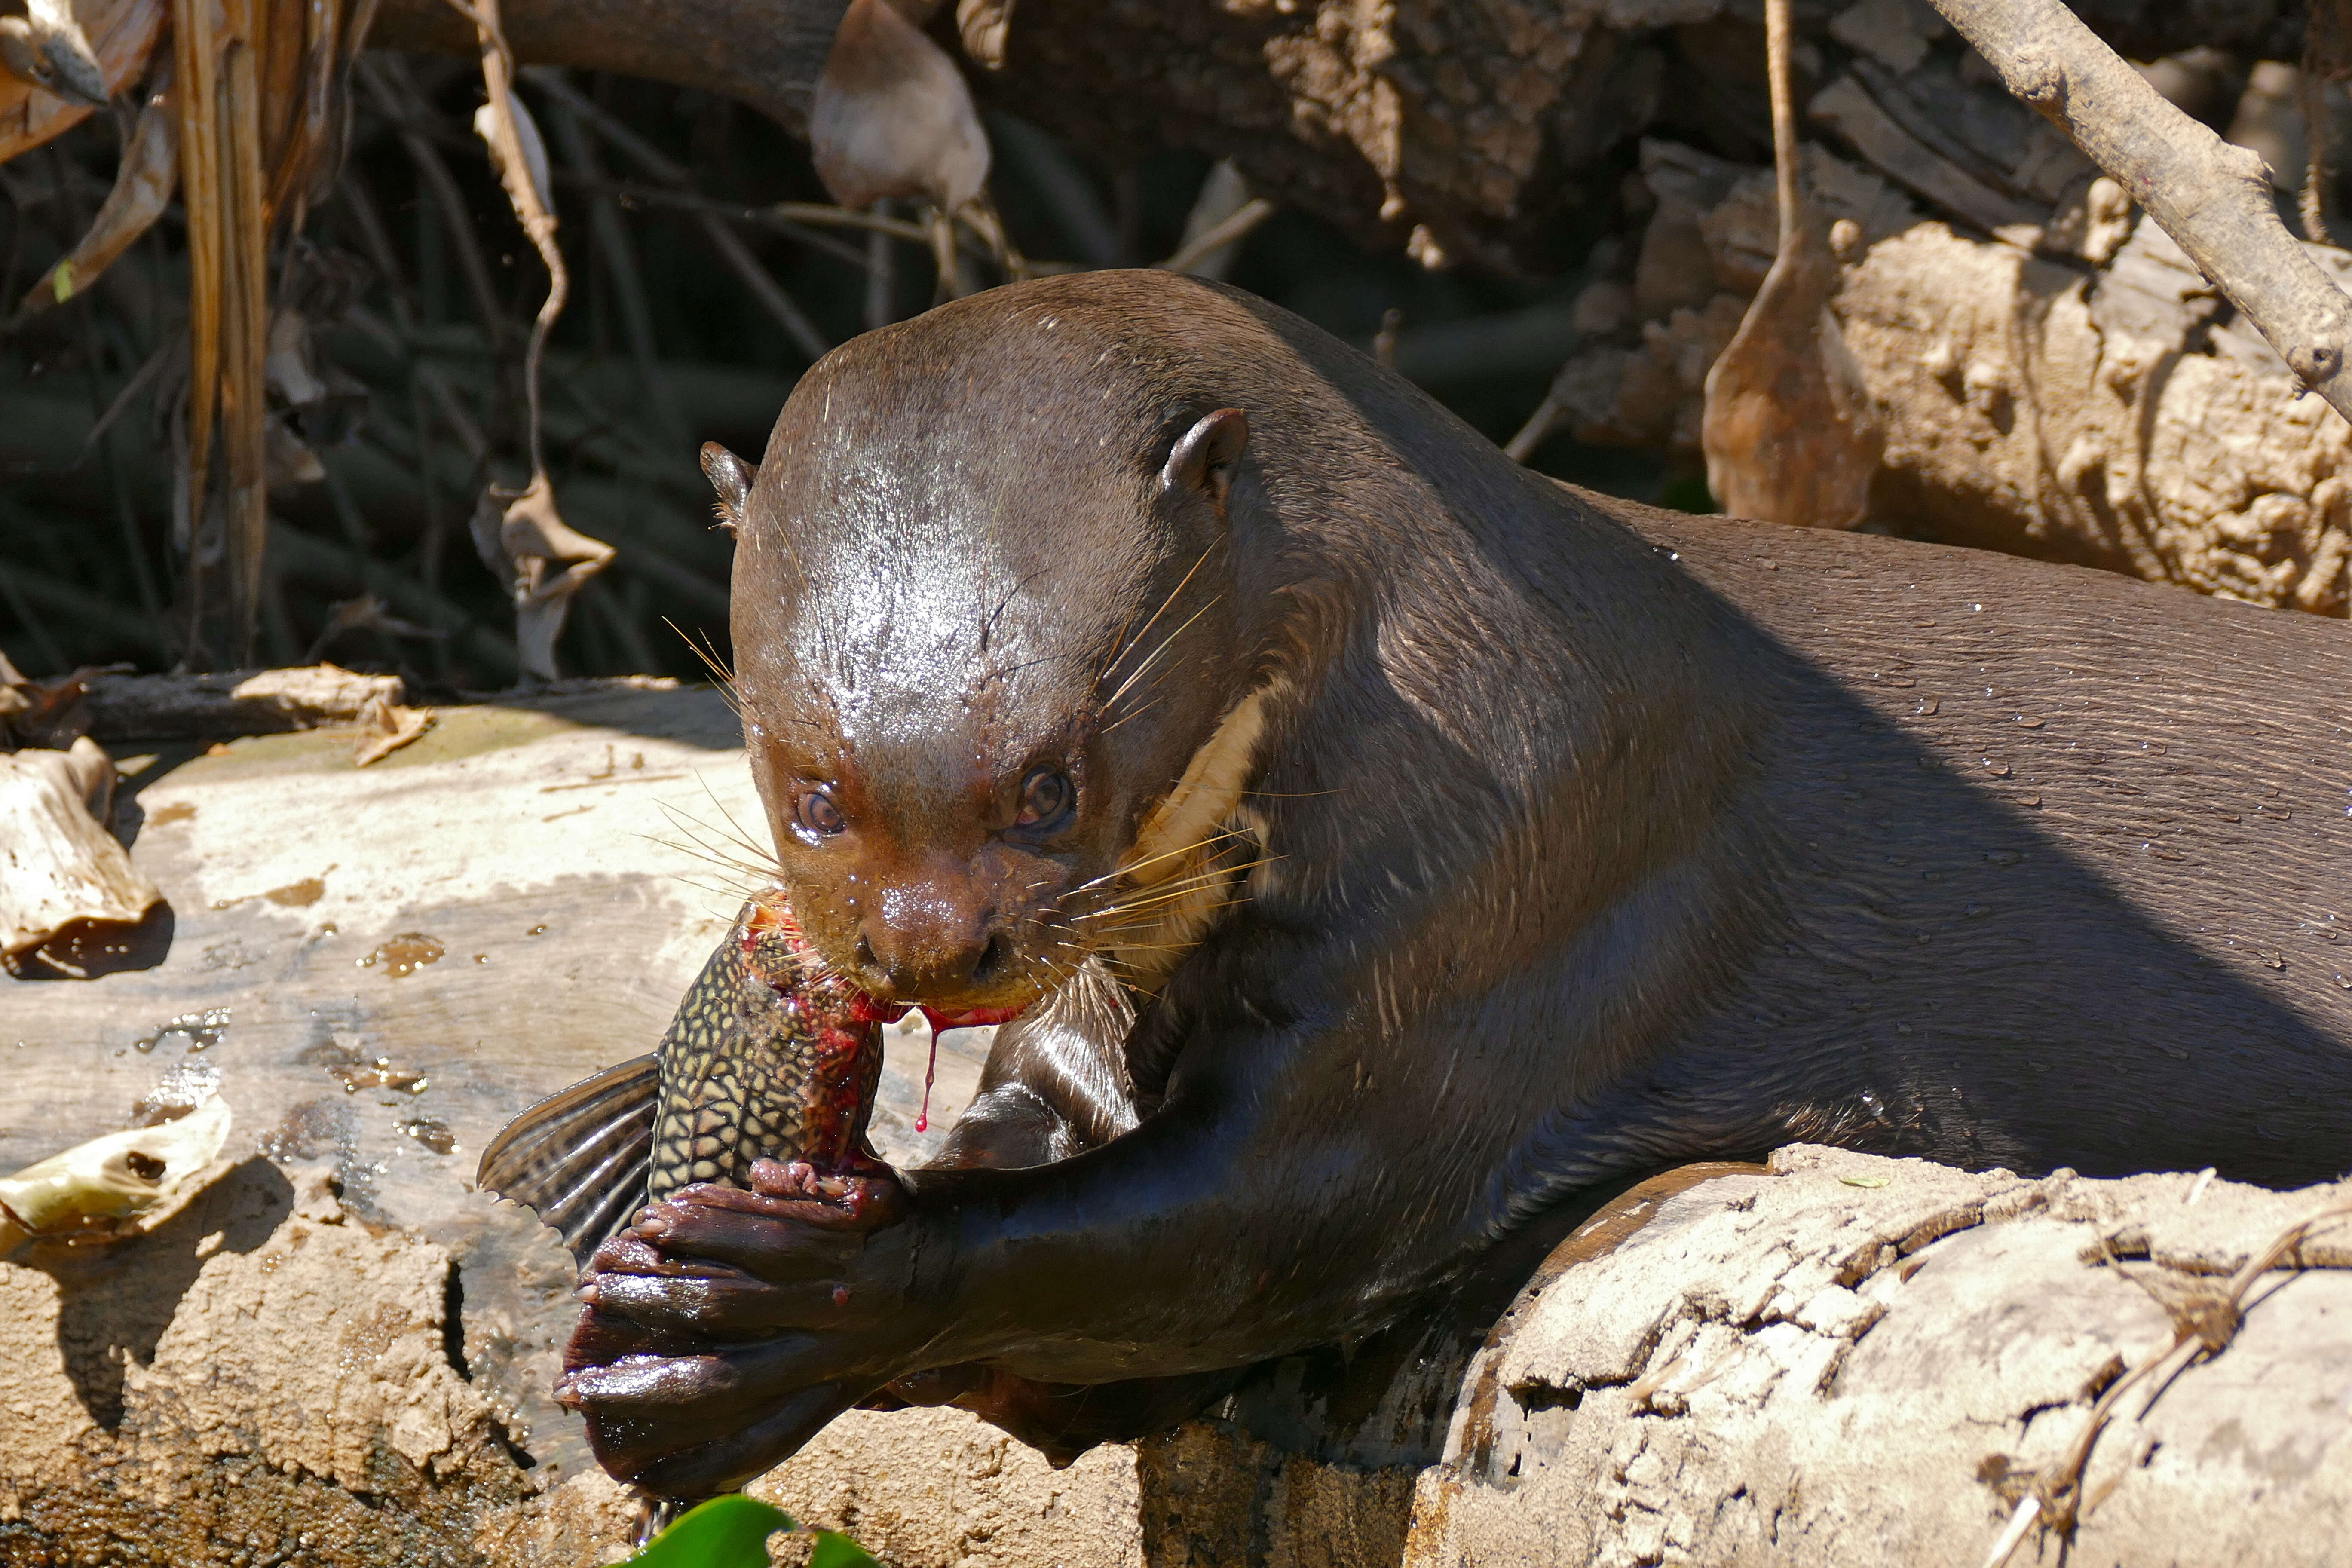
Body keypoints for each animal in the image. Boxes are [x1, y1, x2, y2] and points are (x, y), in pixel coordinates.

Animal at [555, 270, 2352, 1495]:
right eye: (811, 787)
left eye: (1047, 779)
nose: (928, 946)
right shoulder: (1115, 989)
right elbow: (1054, 1126)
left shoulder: (1506, 874)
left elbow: (1254, 1221)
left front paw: (771, 1310)